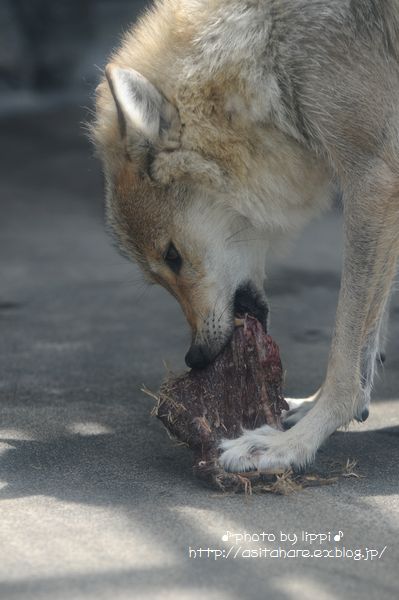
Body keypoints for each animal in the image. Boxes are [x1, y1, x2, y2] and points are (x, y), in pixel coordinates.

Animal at [92, 1, 399, 474]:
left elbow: (346, 356)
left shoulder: (373, 182)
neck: (270, 38)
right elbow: (364, 349)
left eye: (173, 256)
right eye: (156, 276)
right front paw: (308, 413)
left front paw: (293, 444)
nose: (195, 358)